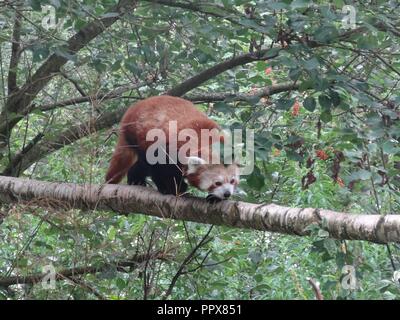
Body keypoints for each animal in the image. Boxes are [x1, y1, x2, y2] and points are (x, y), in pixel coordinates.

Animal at [104, 94, 239, 200]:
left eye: (232, 181)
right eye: (217, 183)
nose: (227, 193)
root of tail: (134, 108)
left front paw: (214, 198)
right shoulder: (168, 148)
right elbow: (160, 169)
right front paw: (171, 188)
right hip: (138, 135)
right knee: (144, 162)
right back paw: (136, 180)